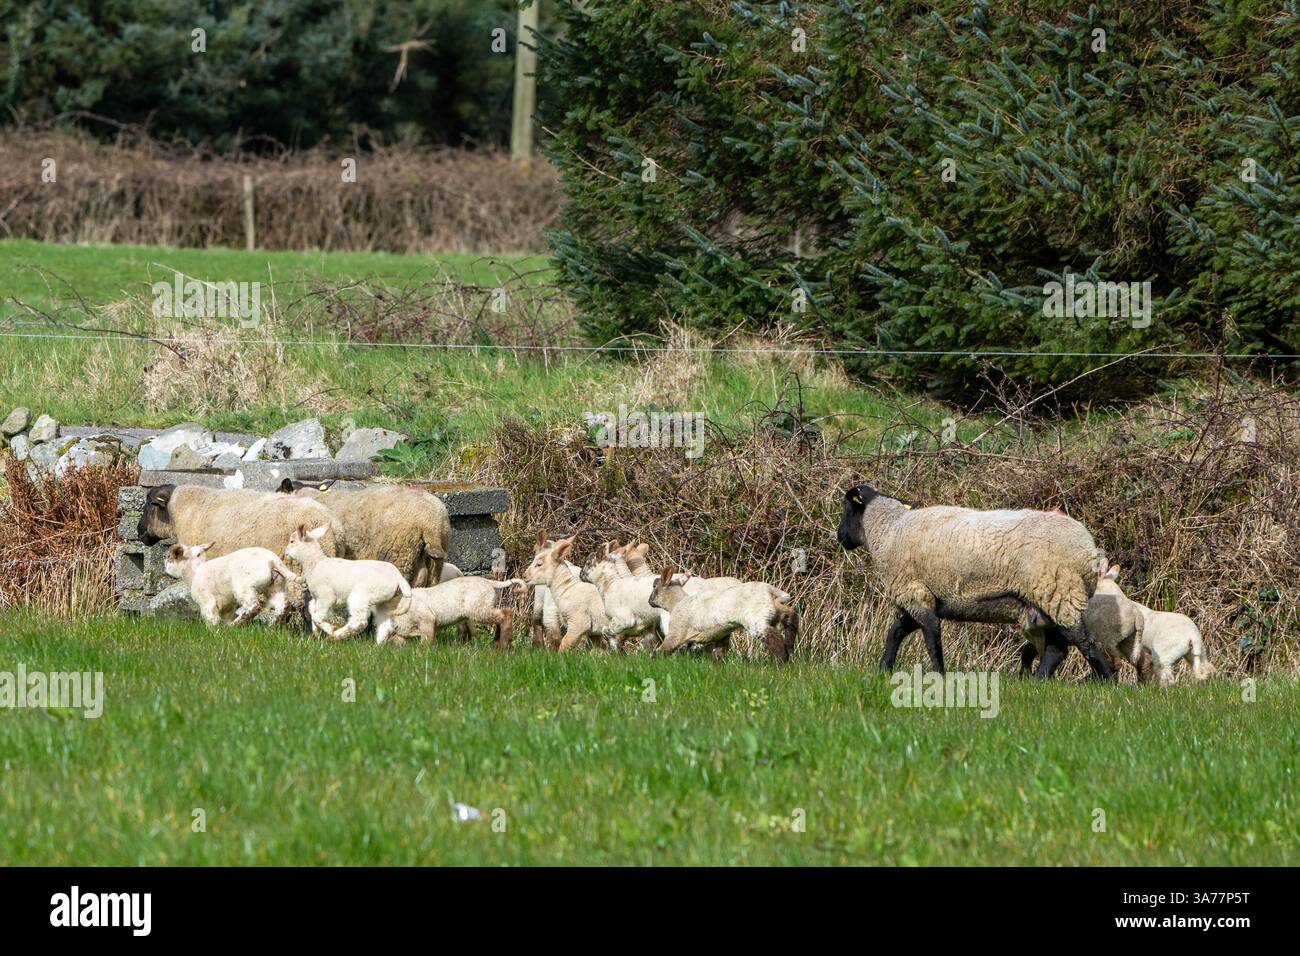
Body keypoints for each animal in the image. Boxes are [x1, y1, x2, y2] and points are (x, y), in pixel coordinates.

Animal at [163, 543, 298, 627]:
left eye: (169, 557)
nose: (165, 566)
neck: (194, 571)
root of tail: (272, 560)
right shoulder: (228, 605)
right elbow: (226, 617)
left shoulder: (206, 601)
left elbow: (211, 619)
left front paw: (215, 632)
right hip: (275, 586)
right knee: (283, 605)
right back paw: (272, 625)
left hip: (244, 586)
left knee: (254, 607)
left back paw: (235, 625)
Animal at [387, 576, 526, 648]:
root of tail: (489, 582)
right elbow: (398, 639)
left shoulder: (427, 619)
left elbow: (427, 639)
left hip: (478, 609)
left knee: (506, 614)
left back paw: (504, 644)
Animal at [647, 569, 797, 662]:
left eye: (654, 586)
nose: (649, 602)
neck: (677, 602)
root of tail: (770, 589)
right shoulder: (722, 634)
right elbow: (718, 653)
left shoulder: (676, 632)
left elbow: (662, 650)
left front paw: (654, 662)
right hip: (774, 608)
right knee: (790, 615)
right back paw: (790, 645)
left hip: (756, 618)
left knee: (775, 640)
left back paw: (781, 662)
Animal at [837, 484, 1113, 679]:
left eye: (846, 508)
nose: (840, 537)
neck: (889, 529)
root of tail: (1089, 551)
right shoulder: (923, 595)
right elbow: (896, 631)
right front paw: (884, 668)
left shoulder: (915, 593)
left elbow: (930, 638)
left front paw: (939, 675)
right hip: (1048, 602)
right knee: (1057, 650)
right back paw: (1038, 681)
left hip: (1060, 593)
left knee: (1086, 643)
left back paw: (1109, 682)